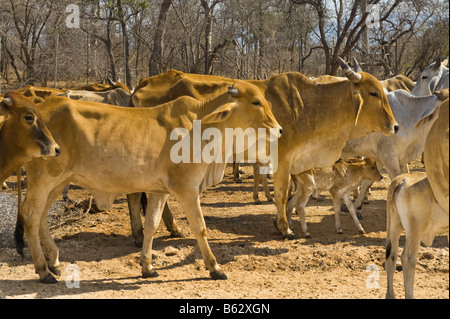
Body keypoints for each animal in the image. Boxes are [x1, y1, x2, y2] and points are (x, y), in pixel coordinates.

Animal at [384, 172, 448, 300]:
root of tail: (401, 180)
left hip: (394, 227)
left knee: (391, 257)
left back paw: (390, 295)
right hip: (415, 232)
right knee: (408, 258)